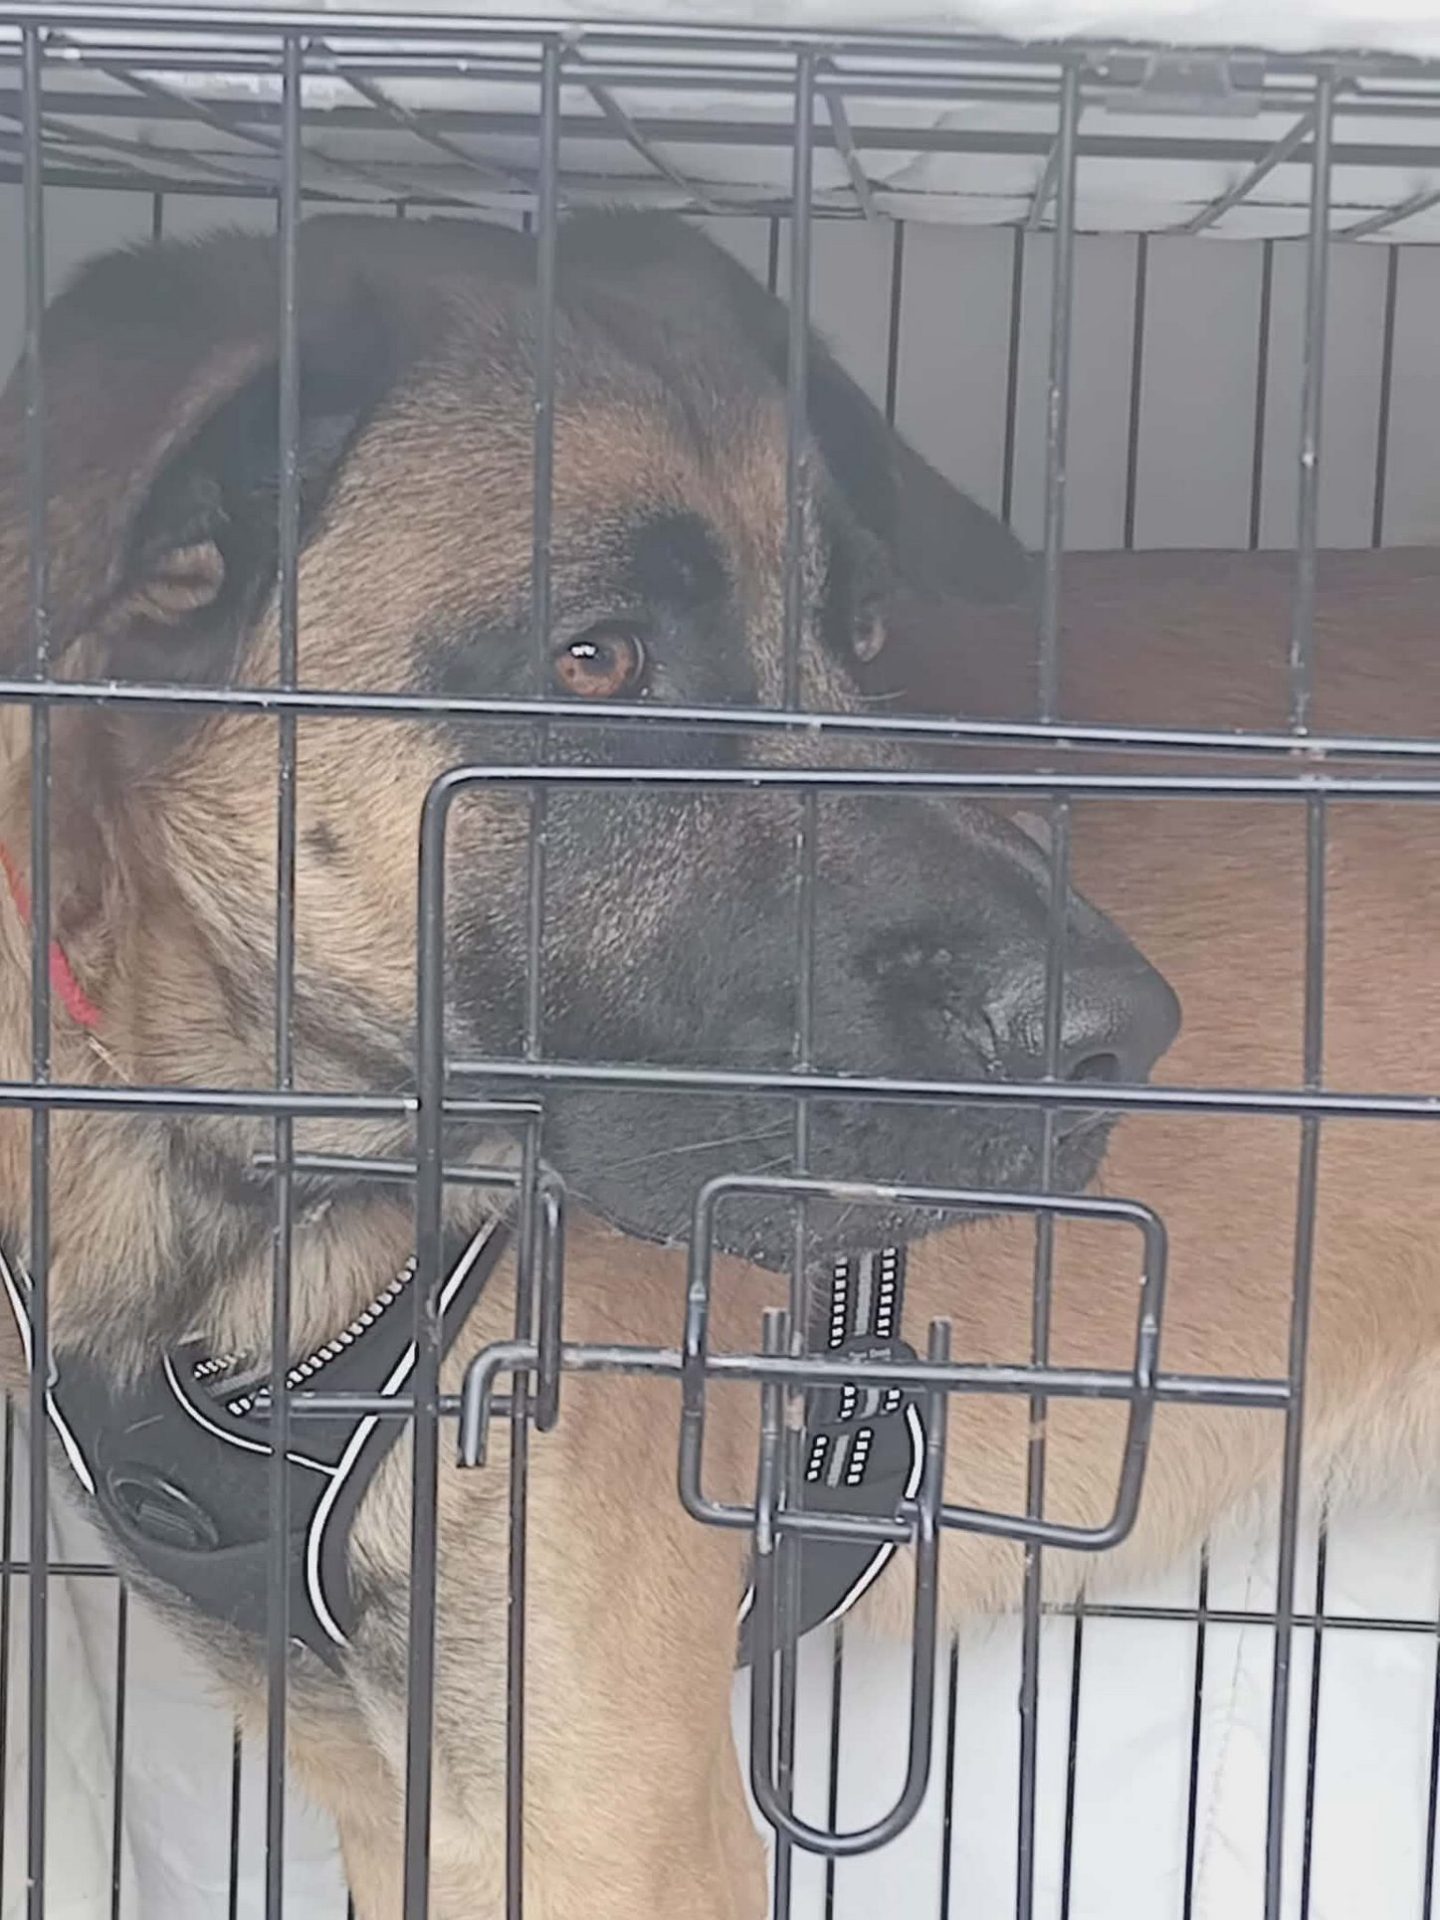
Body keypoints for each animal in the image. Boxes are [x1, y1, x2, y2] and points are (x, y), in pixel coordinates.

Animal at [0, 209, 1433, 1918]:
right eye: (596, 660)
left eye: (860, 638)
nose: (1123, 1037)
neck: (257, 1194)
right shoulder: (404, 1792)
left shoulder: (609, 1814)